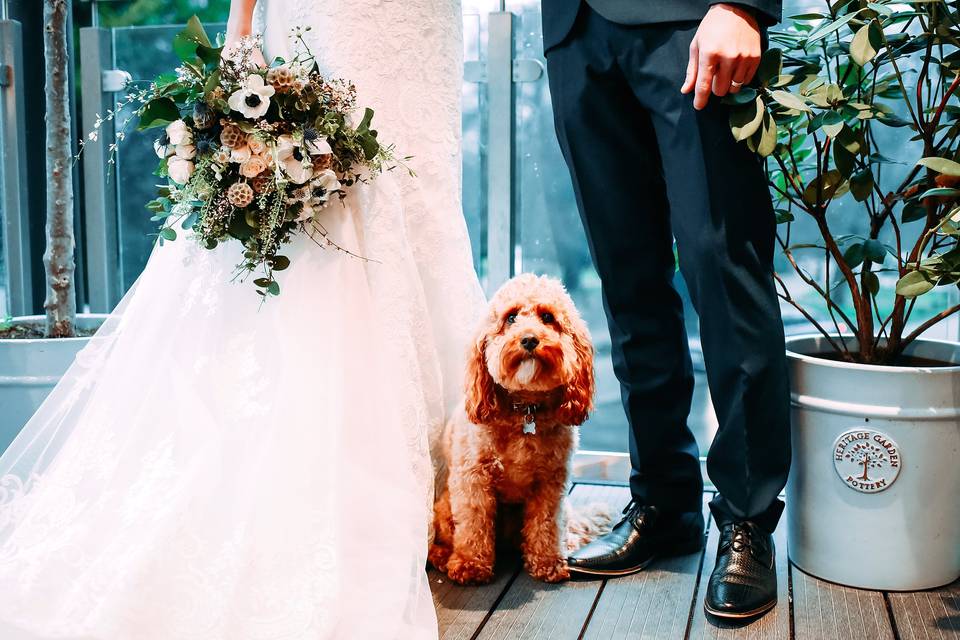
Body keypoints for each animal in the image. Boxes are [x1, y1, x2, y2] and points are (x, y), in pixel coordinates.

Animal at [432, 276, 612, 584]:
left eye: (548, 317)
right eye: (511, 317)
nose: (529, 339)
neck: (526, 408)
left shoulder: (551, 482)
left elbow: (545, 523)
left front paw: (547, 562)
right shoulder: (472, 479)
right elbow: (473, 522)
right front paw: (470, 564)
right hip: (445, 507)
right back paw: (443, 555)